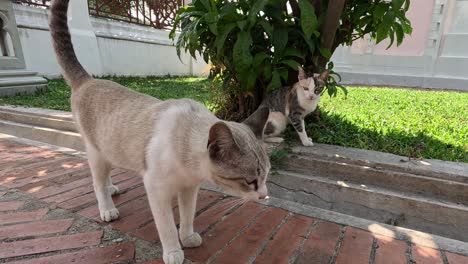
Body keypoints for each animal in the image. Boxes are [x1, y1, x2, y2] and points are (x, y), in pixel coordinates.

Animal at [49, 1, 268, 262]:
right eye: (250, 181)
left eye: (266, 177)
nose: (264, 196)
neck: (189, 164)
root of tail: (89, 80)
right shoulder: (156, 189)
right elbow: (166, 227)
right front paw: (174, 252)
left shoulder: (189, 189)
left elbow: (187, 216)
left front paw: (188, 238)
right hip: (96, 153)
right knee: (96, 182)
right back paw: (108, 208)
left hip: (110, 150)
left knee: (105, 176)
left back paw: (111, 188)